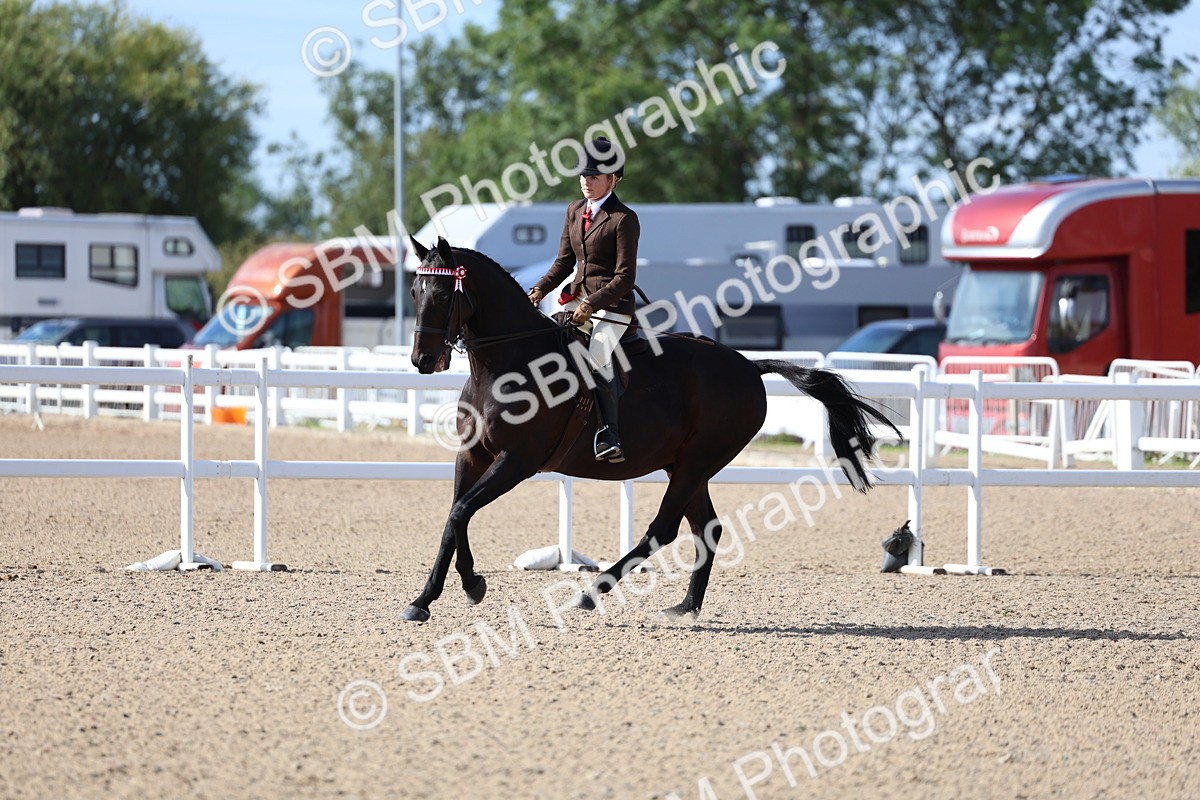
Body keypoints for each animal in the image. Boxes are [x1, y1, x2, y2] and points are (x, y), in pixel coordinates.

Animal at [401, 236, 897, 622]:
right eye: (413, 290)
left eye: (442, 295)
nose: (423, 361)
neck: (508, 363)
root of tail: (748, 366)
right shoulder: (473, 454)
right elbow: (454, 516)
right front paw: (440, 594)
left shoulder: (516, 461)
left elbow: (462, 511)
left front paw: (457, 589)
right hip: (688, 468)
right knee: (707, 528)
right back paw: (684, 607)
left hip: (696, 463)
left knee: (663, 529)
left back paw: (592, 593)